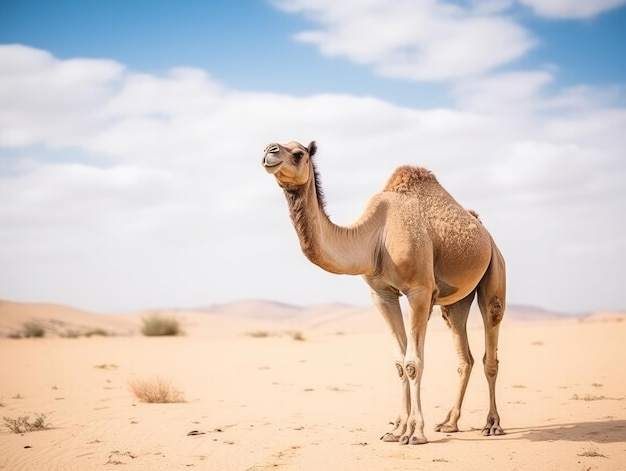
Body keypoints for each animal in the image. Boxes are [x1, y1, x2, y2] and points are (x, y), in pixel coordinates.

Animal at [260, 140, 504, 446]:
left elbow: (413, 363)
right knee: (464, 356)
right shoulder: (382, 295)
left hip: (494, 270)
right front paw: (396, 430)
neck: (376, 236)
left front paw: (415, 433)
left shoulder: (419, 290)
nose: (269, 151)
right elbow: (400, 363)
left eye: (298, 153)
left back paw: (492, 424)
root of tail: (486, 234)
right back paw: (449, 423)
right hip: (456, 301)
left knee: (490, 347)